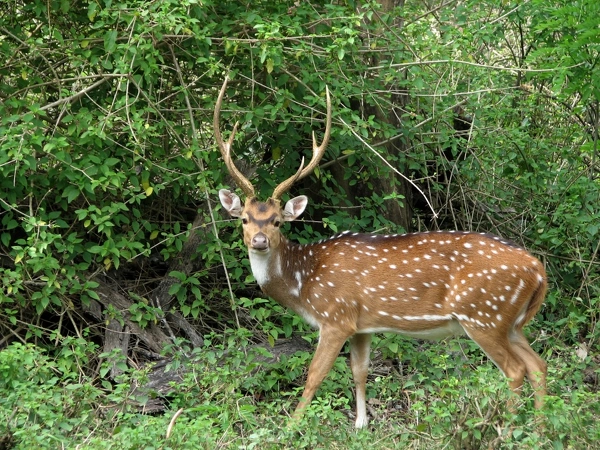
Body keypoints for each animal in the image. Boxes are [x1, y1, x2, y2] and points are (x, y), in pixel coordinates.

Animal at [213, 77, 548, 428]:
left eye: (277, 221)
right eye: (245, 219)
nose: (259, 240)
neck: (303, 283)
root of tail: (538, 270)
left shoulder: (336, 317)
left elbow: (315, 375)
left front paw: (292, 426)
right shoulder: (361, 325)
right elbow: (360, 370)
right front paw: (361, 424)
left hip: (484, 315)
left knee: (516, 370)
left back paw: (507, 429)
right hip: (511, 322)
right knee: (538, 365)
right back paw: (539, 428)